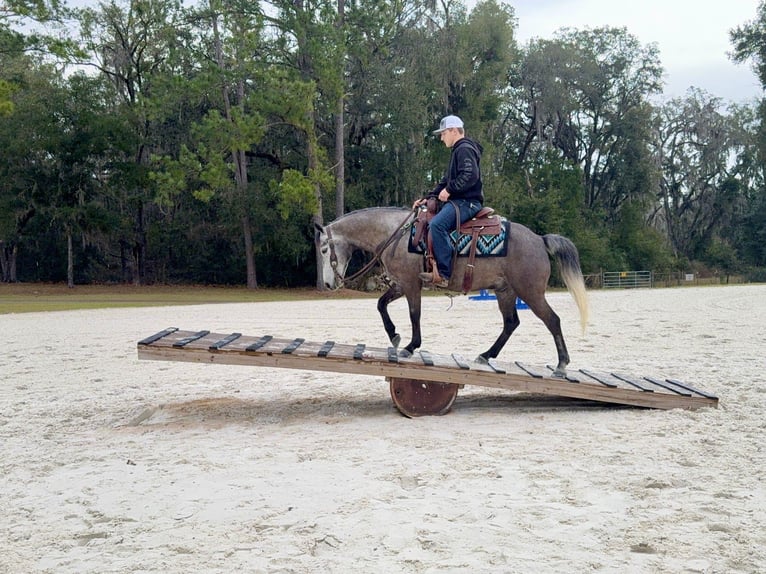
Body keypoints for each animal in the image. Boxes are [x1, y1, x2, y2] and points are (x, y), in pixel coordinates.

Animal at [314, 206, 589, 376]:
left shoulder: (412, 284)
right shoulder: (400, 284)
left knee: (552, 320)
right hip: (506, 291)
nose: (328, 285)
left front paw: (410, 346)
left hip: (530, 292)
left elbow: (414, 314)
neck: (396, 236)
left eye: (324, 250)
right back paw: (485, 355)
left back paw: (562, 364)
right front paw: (395, 336)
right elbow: (381, 304)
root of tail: (540, 240)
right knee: (511, 323)